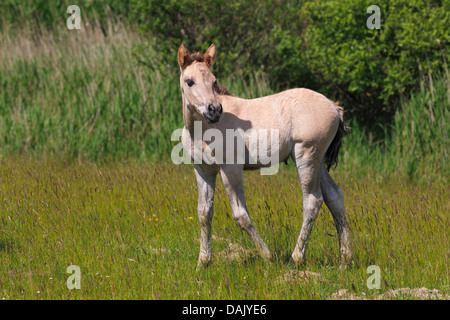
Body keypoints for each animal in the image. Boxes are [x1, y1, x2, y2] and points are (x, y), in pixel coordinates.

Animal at [178, 42, 354, 268]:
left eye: (214, 81)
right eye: (189, 81)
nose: (214, 110)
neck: (204, 129)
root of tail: (333, 106)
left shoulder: (231, 169)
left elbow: (240, 215)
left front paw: (267, 255)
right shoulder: (203, 170)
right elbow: (204, 213)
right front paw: (203, 261)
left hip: (307, 157)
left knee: (313, 201)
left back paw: (296, 258)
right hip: (319, 160)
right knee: (334, 195)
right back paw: (345, 258)